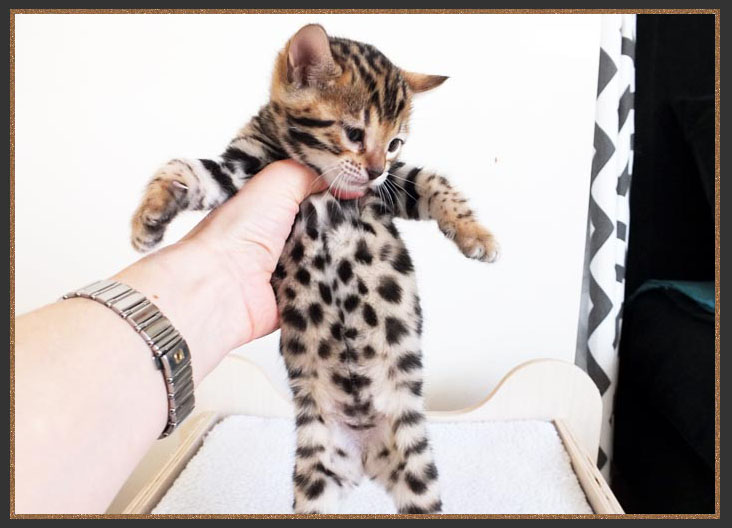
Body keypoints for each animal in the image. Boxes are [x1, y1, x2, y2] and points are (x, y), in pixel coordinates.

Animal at [132, 25, 498, 516]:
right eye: (354, 133)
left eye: (396, 144)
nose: (376, 169)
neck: (320, 183)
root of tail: (366, 456)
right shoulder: (242, 170)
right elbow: (188, 167)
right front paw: (151, 215)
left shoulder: (388, 189)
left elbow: (432, 181)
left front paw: (478, 236)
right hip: (316, 470)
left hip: (417, 467)